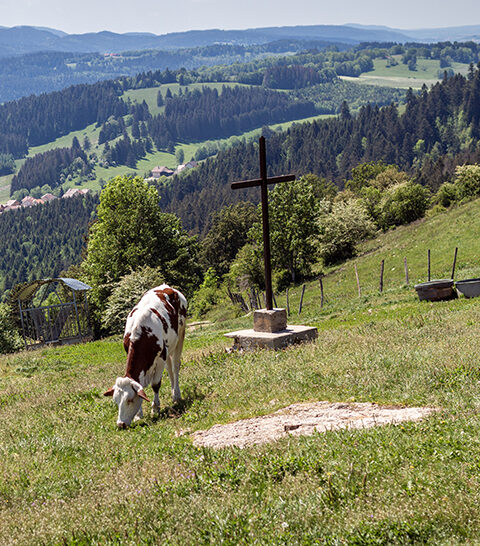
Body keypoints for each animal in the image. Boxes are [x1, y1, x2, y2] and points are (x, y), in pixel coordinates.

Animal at [104, 282, 187, 428]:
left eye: (130, 400)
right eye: (116, 400)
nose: (120, 424)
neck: (141, 332)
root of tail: (167, 287)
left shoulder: (161, 357)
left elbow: (156, 384)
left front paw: (155, 408)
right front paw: (138, 415)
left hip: (180, 335)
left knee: (175, 367)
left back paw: (176, 395)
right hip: (169, 346)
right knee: (170, 370)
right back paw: (173, 394)